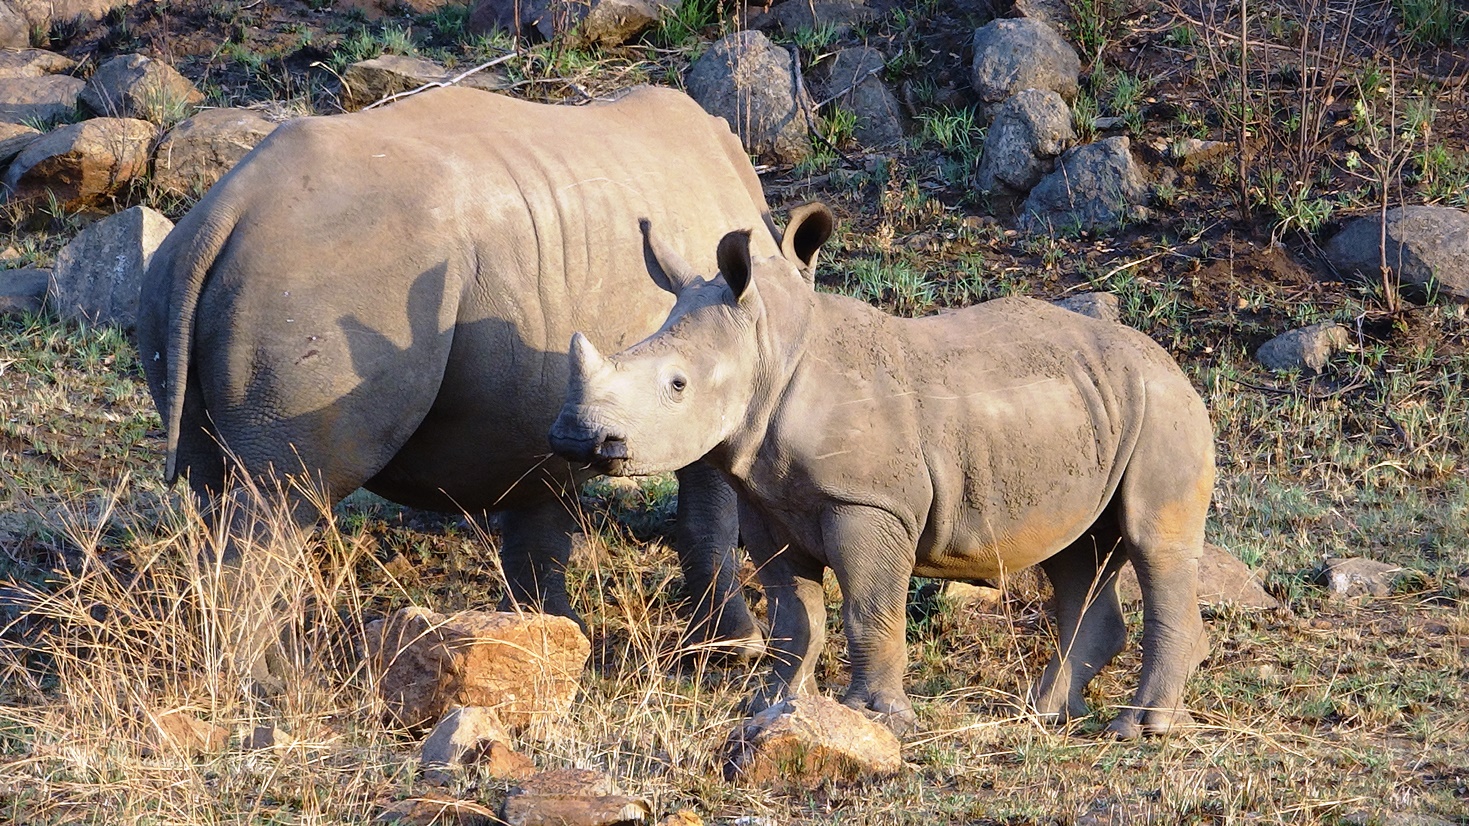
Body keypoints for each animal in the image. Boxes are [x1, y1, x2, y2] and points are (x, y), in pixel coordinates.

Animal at [136, 85, 828, 676]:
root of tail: (228, 210)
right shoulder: (700, 396)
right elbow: (709, 516)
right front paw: (736, 650)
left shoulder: (539, 403)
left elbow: (539, 526)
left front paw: (551, 640)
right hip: (324, 275)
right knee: (282, 502)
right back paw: (275, 684)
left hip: (185, 272)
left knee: (215, 484)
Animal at [552, 210, 1216, 731]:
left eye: (677, 385)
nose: (578, 437)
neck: (769, 348)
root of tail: (1175, 365)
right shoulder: (767, 502)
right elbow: (795, 614)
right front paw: (773, 704)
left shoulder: (868, 502)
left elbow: (867, 608)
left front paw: (876, 716)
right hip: (1093, 408)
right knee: (1078, 553)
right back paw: (1042, 714)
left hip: (1164, 408)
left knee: (1152, 544)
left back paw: (1140, 729)